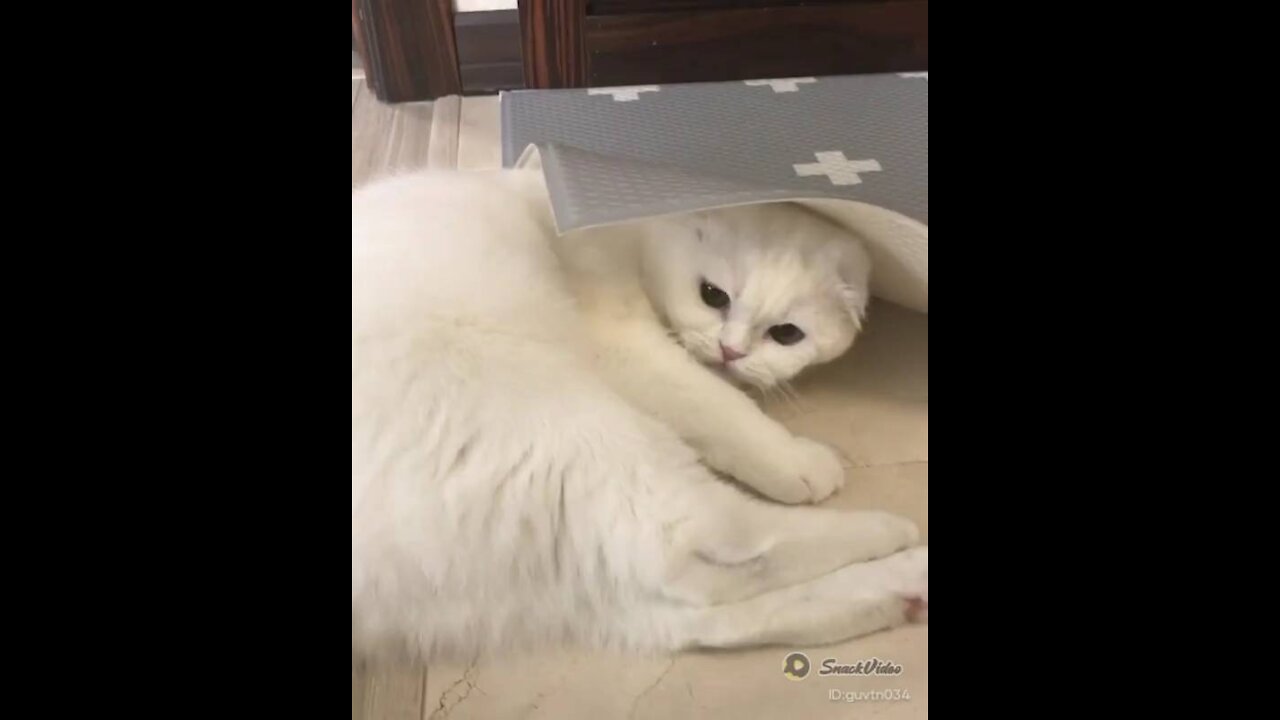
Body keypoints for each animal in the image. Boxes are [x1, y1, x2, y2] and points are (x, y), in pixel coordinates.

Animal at [353, 169, 931, 661]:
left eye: (786, 334)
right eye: (712, 296)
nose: (731, 351)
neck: (635, 233)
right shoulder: (623, 341)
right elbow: (718, 404)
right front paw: (795, 461)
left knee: (701, 614)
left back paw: (904, 586)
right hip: (569, 436)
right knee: (707, 543)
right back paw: (893, 534)